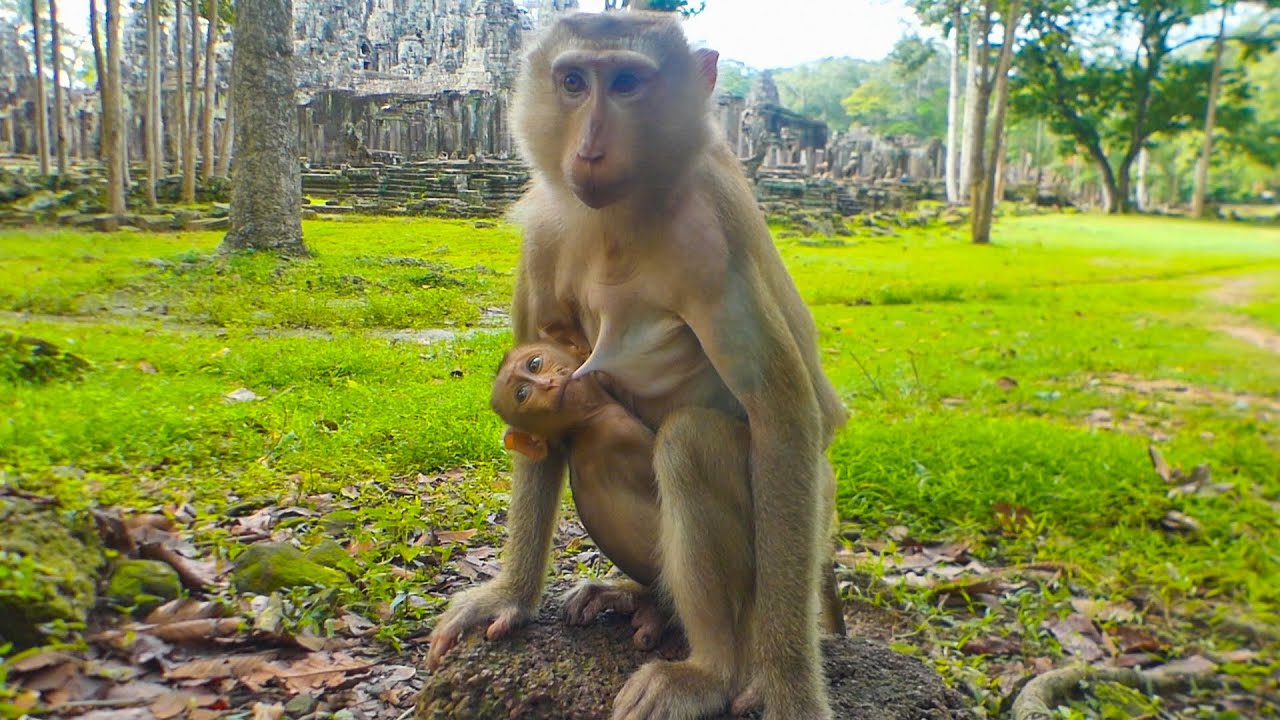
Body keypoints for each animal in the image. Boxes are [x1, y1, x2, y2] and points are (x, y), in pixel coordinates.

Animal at [428, 11, 848, 720]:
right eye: (573, 82)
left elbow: (784, 417)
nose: (590, 149)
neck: (620, 218)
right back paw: (643, 600)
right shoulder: (544, 226)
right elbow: (539, 433)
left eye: (626, 83)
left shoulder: (711, 233)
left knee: (690, 442)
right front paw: (509, 595)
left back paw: (712, 668)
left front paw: (787, 685)